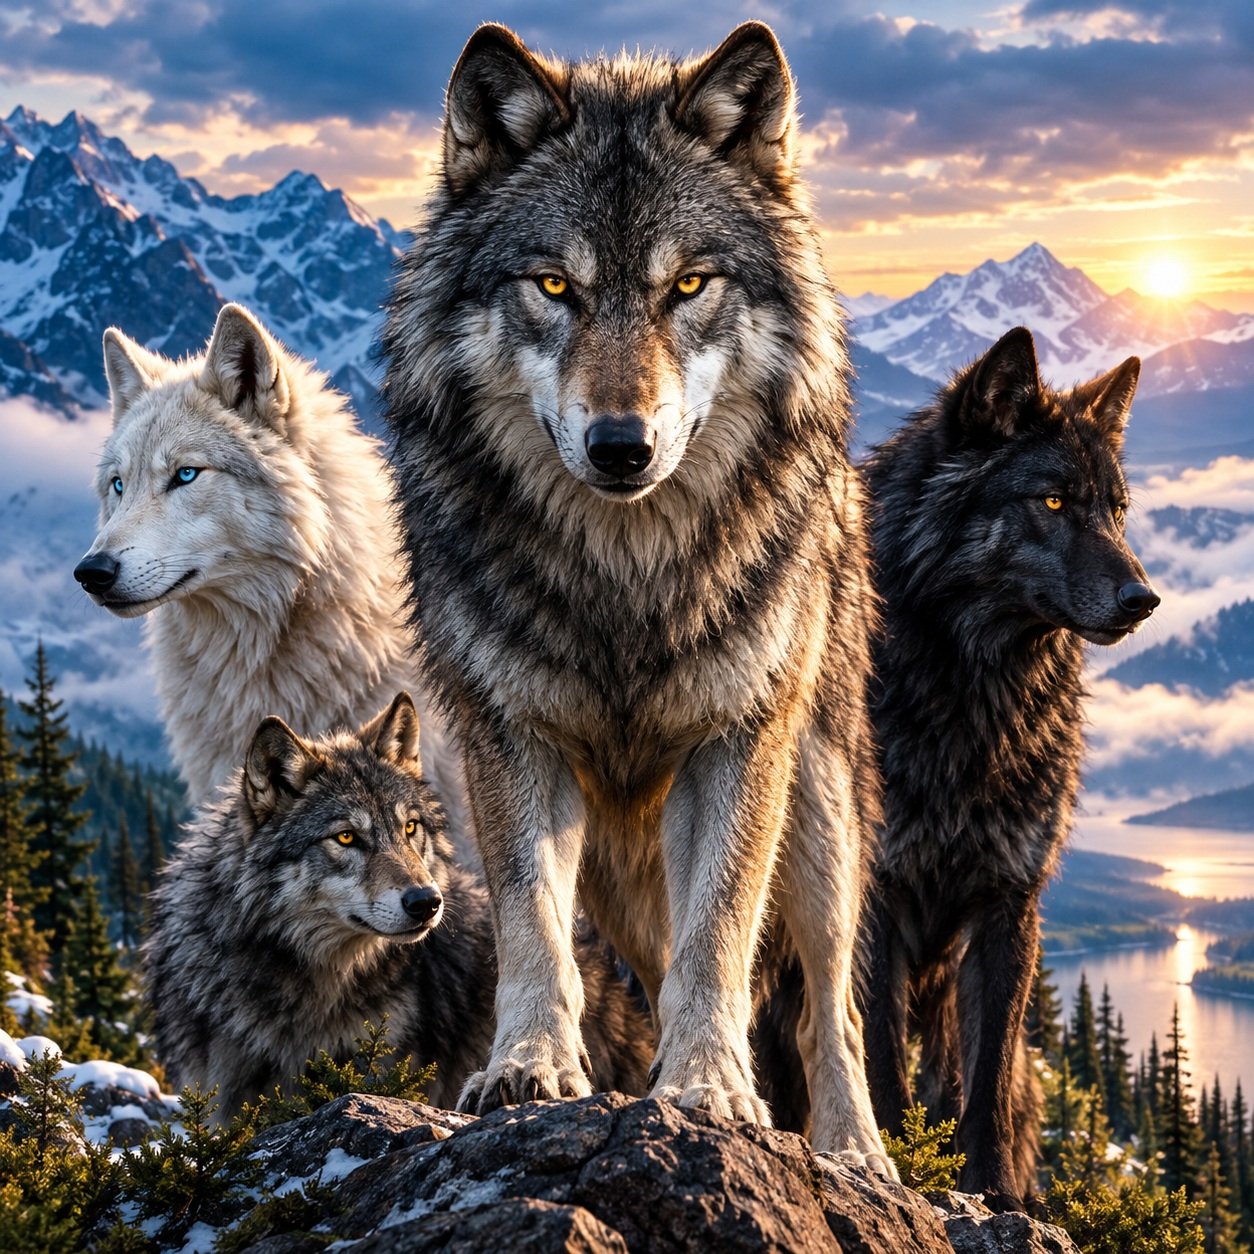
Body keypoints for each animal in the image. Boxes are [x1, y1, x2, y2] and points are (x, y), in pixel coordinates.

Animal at [381, 22, 891, 1170]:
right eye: (553, 287)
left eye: (689, 286)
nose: (622, 447)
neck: (626, 579)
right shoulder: (509, 737)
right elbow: (530, 920)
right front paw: (529, 1067)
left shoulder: (740, 742)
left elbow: (723, 936)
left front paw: (708, 1088)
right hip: (620, 874)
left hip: (820, 806)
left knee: (827, 1005)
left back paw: (852, 1151)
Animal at [860, 327, 1160, 1207]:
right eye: (1053, 502)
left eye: (1117, 509)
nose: (1145, 600)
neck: (973, 699)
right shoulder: (877, 897)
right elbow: (881, 1064)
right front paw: (901, 1168)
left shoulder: (1007, 900)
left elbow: (984, 1077)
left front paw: (994, 1192)